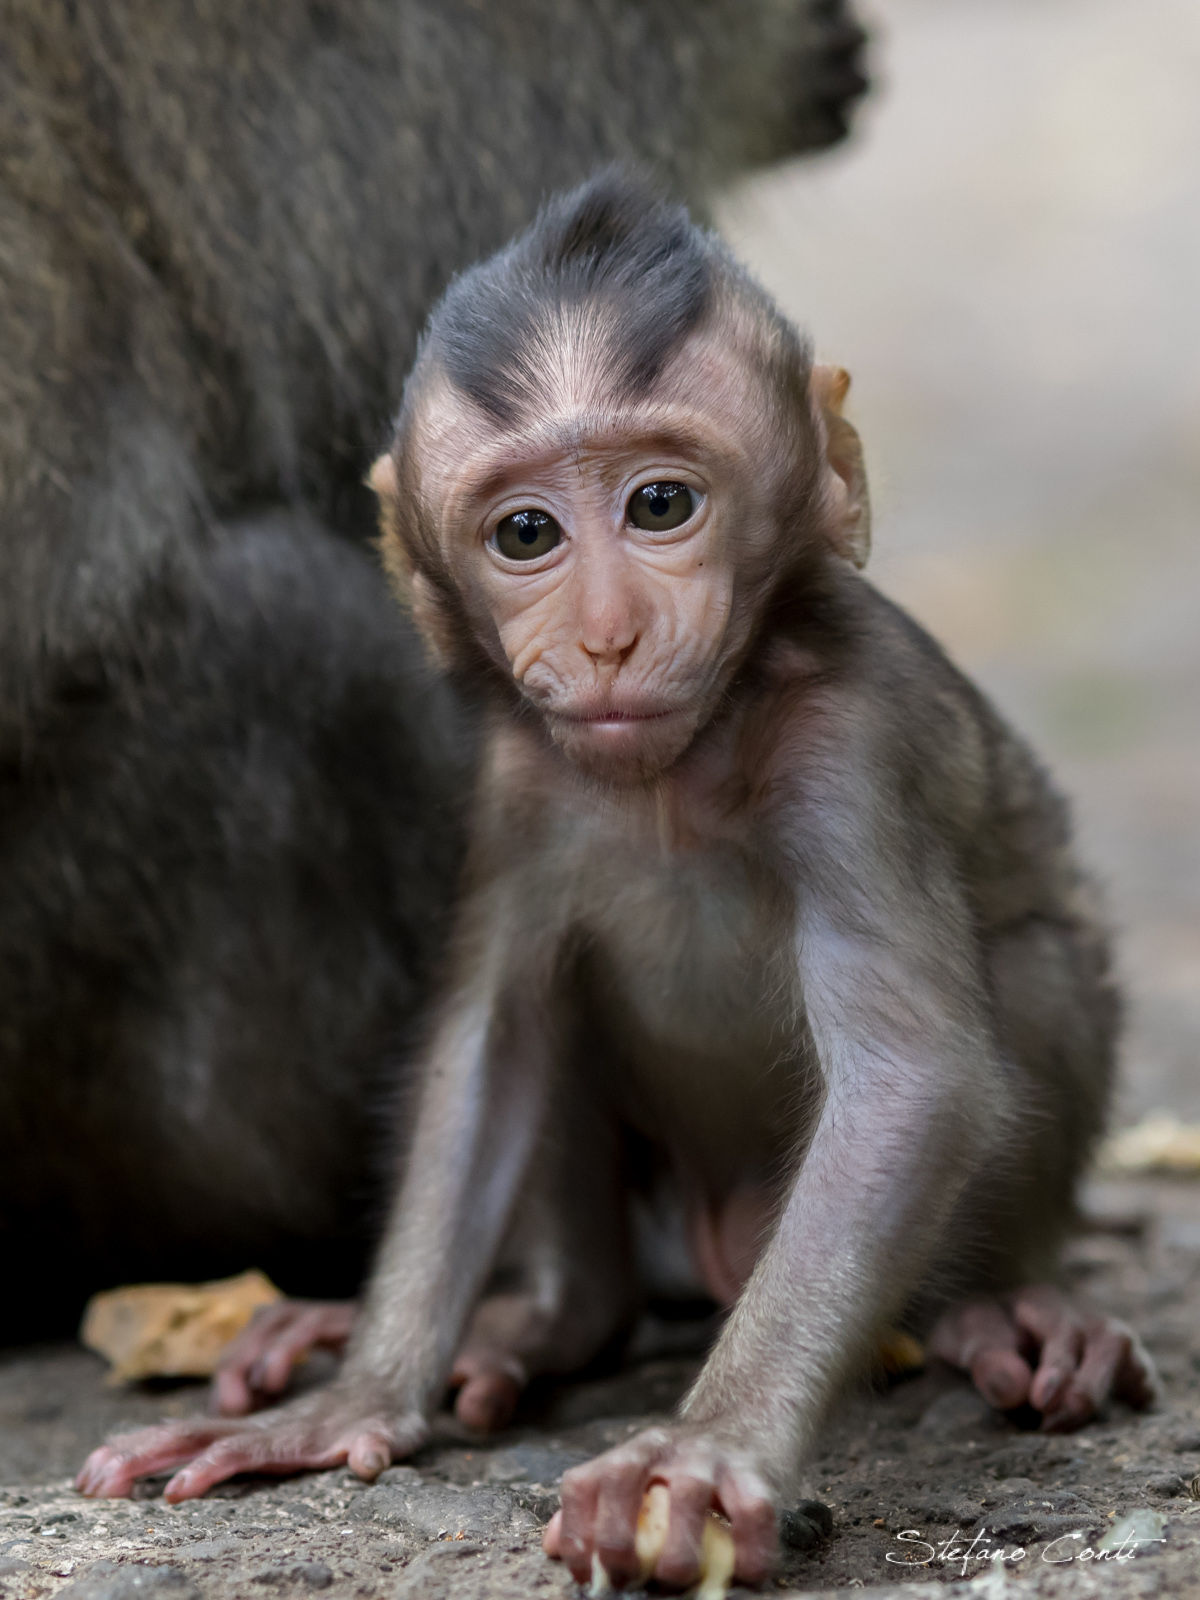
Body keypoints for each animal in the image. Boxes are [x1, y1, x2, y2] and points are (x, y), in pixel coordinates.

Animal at [78, 169, 1159, 1591]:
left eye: (660, 506)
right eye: (526, 532)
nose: (605, 637)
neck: (672, 771)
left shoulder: (857, 738)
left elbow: (911, 1077)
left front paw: (698, 1453)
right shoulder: (515, 780)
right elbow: (495, 1039)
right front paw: (351, 1400)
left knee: (1030, 969)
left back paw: (999, 1314)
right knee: (567, 1009)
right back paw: (543, 1320)